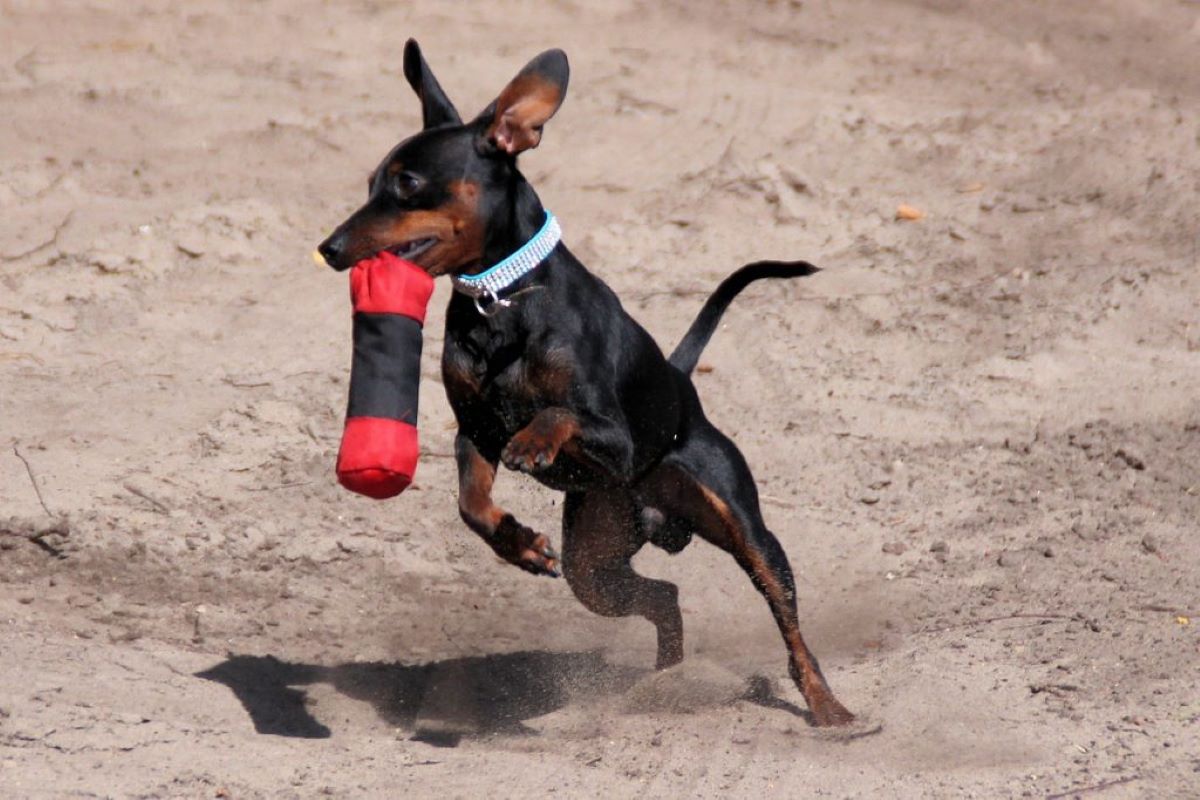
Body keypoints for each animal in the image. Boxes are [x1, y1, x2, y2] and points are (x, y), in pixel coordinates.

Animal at [319, 38, 854, 724]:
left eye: (406, 184)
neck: (502, 302)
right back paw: (662, 683)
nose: (329, 247)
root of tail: (682, 380)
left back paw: (828, 707)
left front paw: (533, 442)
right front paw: (519, 544)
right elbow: (471, 504)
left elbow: (560, 412)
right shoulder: (474, 432)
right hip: (595, 568)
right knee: (665, 595)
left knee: (786, 621)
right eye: (369, 184)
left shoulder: (615, 440)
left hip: (745, 528)